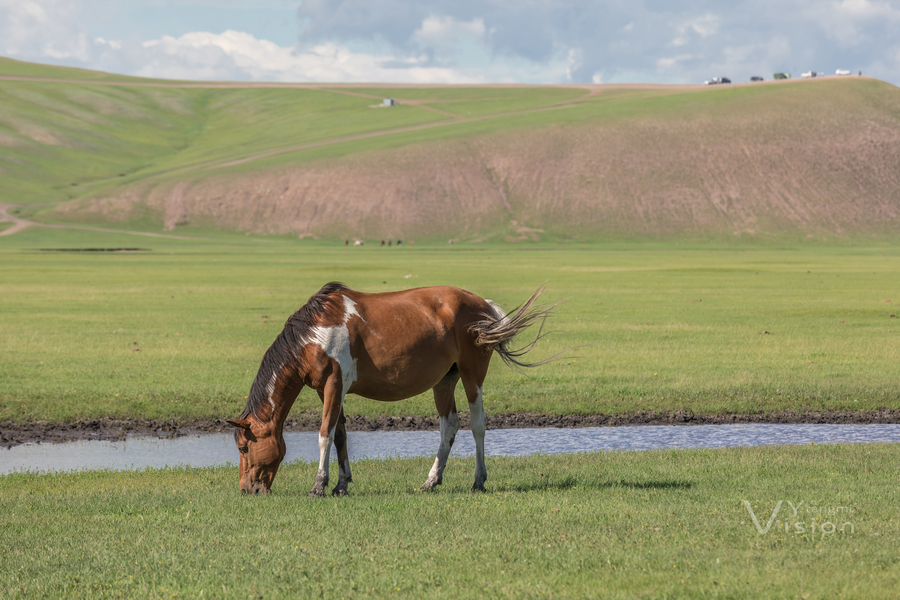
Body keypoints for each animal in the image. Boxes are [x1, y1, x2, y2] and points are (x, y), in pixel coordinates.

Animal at [229, 282, 552, 496]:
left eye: (244, 447)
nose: (247, 489)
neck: (314, 334)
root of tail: (483, 304)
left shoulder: (334, 384)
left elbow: (324, 435)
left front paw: (319, 485)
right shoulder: (328, 390)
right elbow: (340, 435)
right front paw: (342, 484)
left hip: (472, 375)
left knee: (478, 424)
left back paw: (479, 480)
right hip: (445, 380)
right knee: (449, 425)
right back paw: (431, 481)